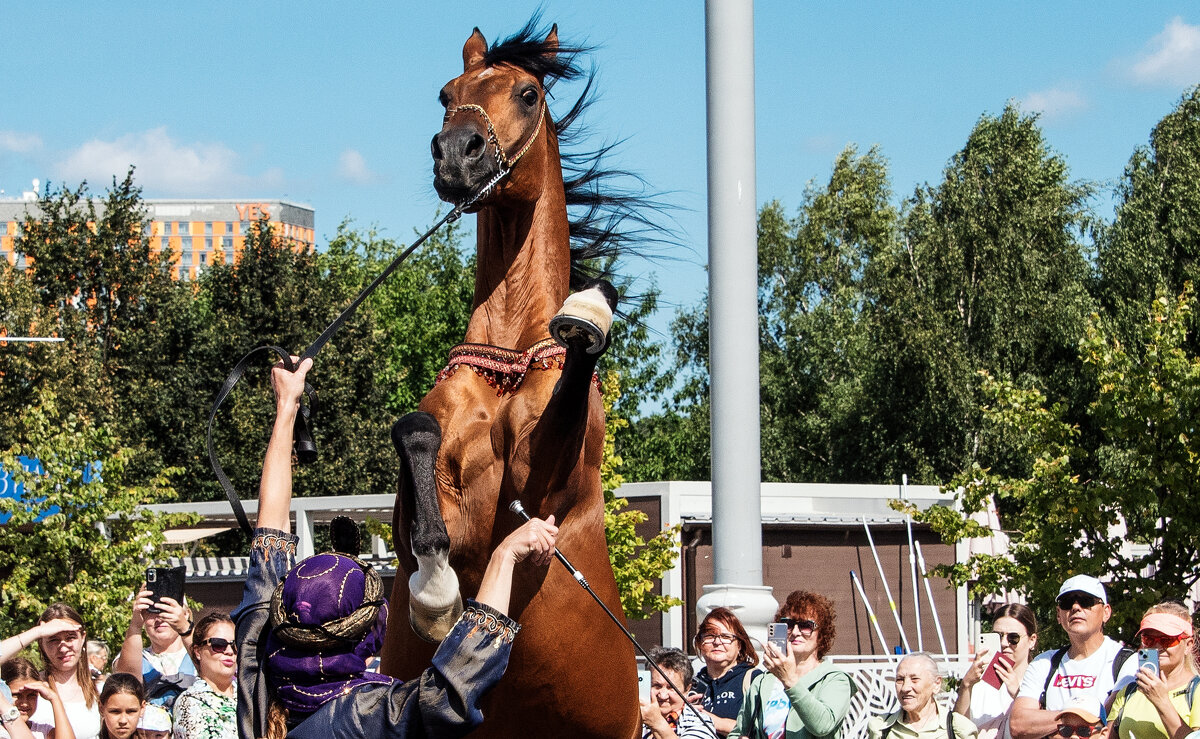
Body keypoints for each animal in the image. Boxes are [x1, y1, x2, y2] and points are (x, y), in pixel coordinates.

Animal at [384, 20, 648, 734]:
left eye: (529, 93)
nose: (457, 153)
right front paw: (435, 593)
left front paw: (590, 312)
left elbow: (572, 382)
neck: (507, 363)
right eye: (447, 93)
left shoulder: (550, 484)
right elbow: (413, 443)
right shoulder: (434, 498)